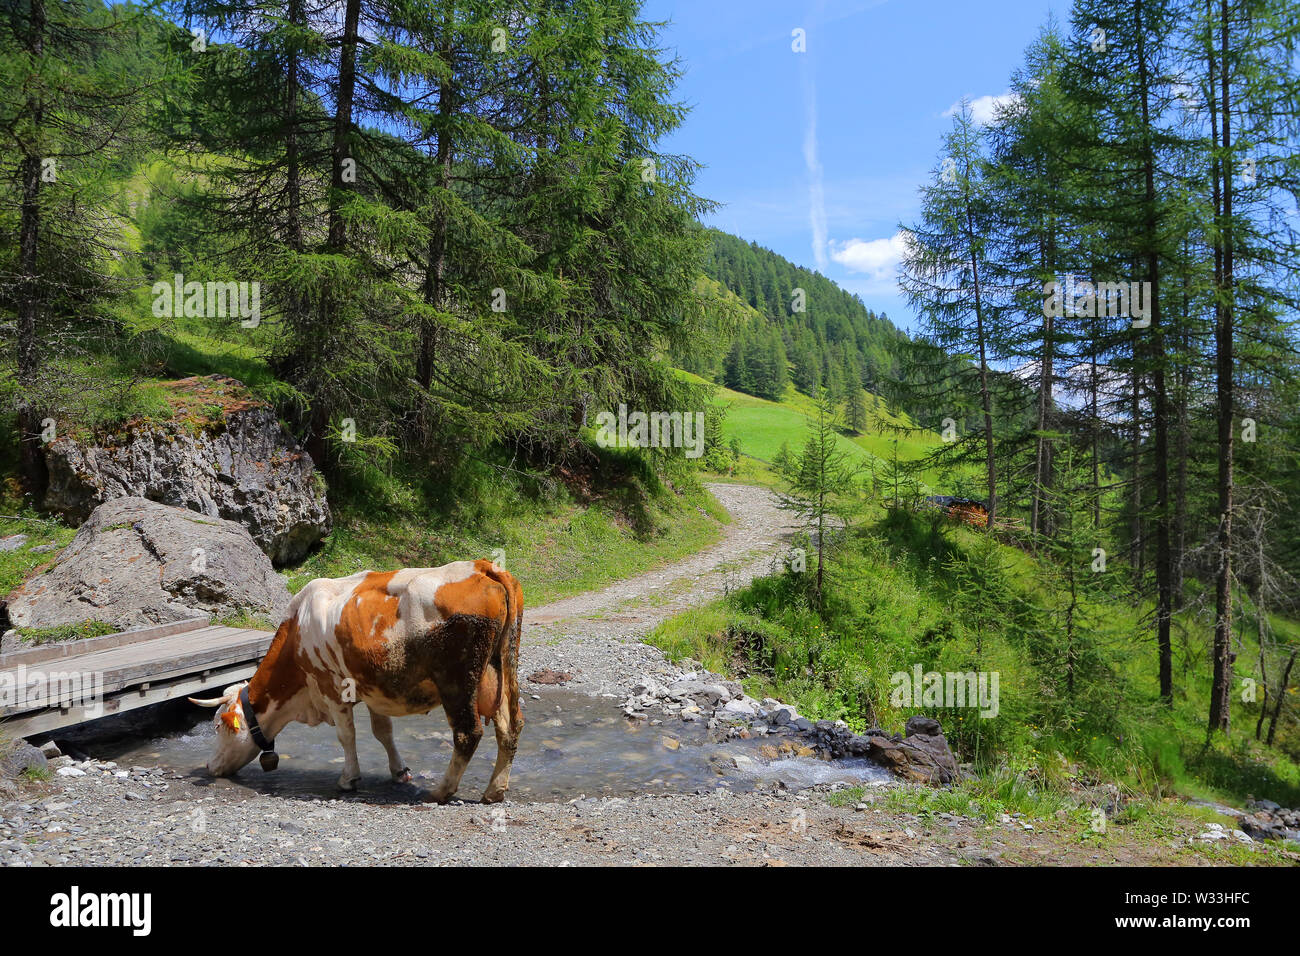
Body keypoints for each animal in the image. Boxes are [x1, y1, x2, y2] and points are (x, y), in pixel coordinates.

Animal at [189, 559, 523, 804]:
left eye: (218, 726)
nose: (209, 766)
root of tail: (481, 566)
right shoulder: (374, 687)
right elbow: (383, 732)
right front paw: (399, 771)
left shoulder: (332, 687)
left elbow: (346, 735)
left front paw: (348, 778)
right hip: (500, 673)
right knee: (510, 727)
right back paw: (494, 790)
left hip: (457, 682)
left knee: (468, 733)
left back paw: (442, 791)